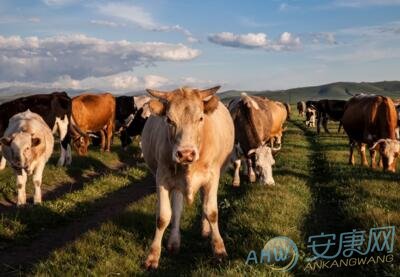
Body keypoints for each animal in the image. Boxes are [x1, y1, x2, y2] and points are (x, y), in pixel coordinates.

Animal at [141, 85, 233, 268]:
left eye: (200, 118)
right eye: (169, 120)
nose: (185, 153)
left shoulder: (212, 177)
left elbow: (211, 211)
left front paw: (219, 249)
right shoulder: (162, 178)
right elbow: (163, 217)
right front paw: (153, 255)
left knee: (204, 203)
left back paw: (205, 229)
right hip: (176, 184)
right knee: (177, 210)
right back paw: (174, 242)